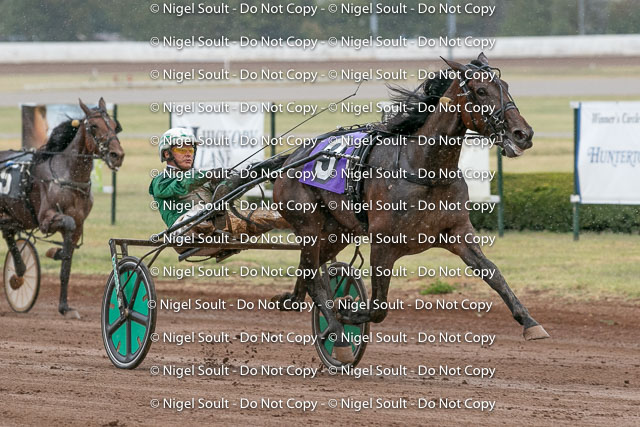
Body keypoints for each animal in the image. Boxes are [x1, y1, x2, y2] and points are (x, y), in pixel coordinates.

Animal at [0, 98, 124, 318]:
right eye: (94, 126)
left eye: (113, 124)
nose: (117, 154)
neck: (68, 176)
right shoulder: (46, 220)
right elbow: (68, 223)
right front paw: (55, 252)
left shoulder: (79, 225)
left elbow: (66, 266)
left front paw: (65, 307)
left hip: (13, 216)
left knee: (8, 233)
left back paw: (20, 271)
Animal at [273, 53, 548, 363]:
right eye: (480, 91)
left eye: (506, 86)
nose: (523, 133)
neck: (424, 169)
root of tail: (290, 159)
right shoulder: (383, 243)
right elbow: (378, 307)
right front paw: (347, 312)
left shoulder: (457, 232)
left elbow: (494, 273)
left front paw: (530, 323)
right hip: (308, 223)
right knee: (312, 274)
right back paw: (337, 334)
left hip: (337, 231)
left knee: (309, 271)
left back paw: (294, 300)